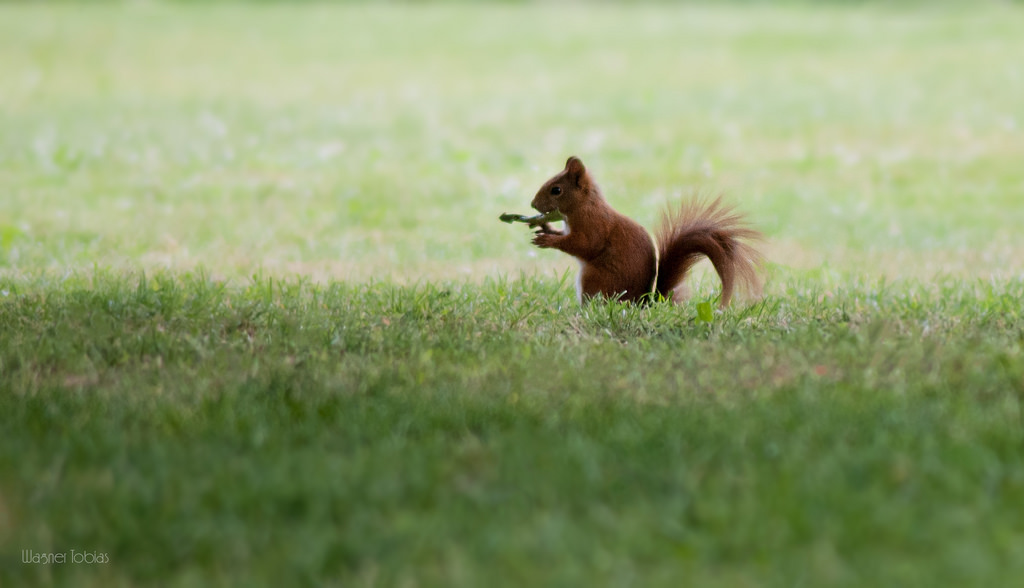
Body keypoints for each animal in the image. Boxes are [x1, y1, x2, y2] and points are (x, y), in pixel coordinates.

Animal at [528, 156, 761, 309]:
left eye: (556, 190)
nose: (533, 205)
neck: (584, 205)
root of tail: (641, 304)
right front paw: (546, 228)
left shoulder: (592, 226)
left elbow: (583, 245)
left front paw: (547, 240)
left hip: (594, 279)